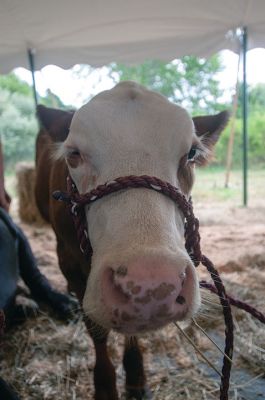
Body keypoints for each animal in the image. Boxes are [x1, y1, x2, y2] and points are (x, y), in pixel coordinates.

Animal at [35, 82, 228, 400]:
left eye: (191, 153)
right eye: (73, 154)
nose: (152, 282)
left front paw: (136, 375)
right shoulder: (68, 259)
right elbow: (96, 330)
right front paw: (105, 385)